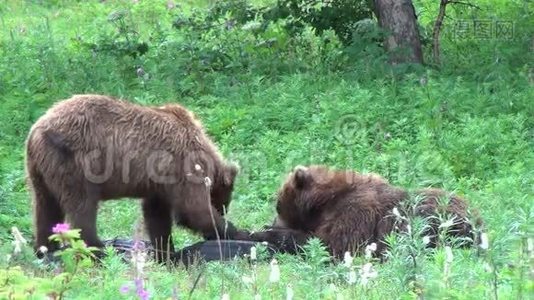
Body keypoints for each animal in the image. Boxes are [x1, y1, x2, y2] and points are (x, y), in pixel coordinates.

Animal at [25, 94, 249, 262]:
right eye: (224, 203)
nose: (223, 210)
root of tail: (37, 129)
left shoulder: (160, 183)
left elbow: (157, 215)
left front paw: (165, 252)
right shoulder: (183, 164)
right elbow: (194, 210)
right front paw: (240, 233)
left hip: (41, 169)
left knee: (45, 207)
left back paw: (46, 248)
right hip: (76, 164)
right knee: (82, 208)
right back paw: (97, 249)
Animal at [249, 164, 484, 258]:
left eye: (278, 205)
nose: (273, 221)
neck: (325, 202)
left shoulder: (357, 212)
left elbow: (335, 245)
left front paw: (267, 232)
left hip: (435, 220)